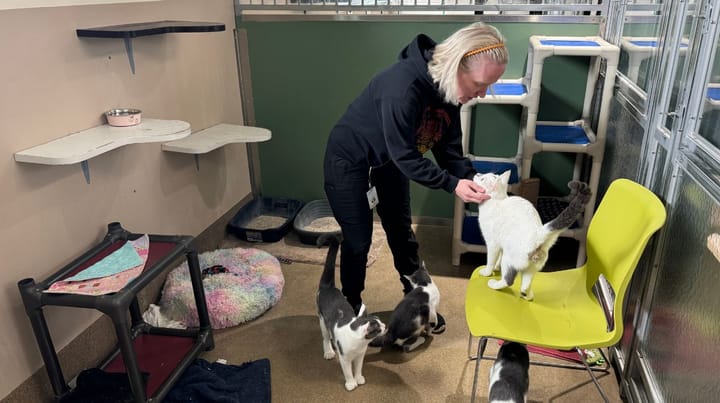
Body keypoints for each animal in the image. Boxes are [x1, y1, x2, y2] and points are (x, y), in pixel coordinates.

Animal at [314, 234, 382, 392]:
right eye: (379, 328)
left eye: (381, 322)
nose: (385, 325)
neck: (360, 344)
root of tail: (328, 287)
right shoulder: (344, 358)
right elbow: (348, 372)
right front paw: (351, 383)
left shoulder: (360, 356)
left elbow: (358, 369)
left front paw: (359, 378)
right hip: (322, 321)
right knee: (325, 338)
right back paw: (329, 352)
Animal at [472, 170, 592, 300]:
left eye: (482, 179)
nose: (477, 174)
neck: (498, 200)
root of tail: (538, 235)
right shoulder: (501, 245)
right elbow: (498, 258)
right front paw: (496, 268)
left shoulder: (492, 244)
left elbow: (491, 260)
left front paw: (488, 271)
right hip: (531, 268)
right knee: (525, 285)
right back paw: (527, 296)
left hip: (509, 260)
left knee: (509, 280)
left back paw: (494, 284)